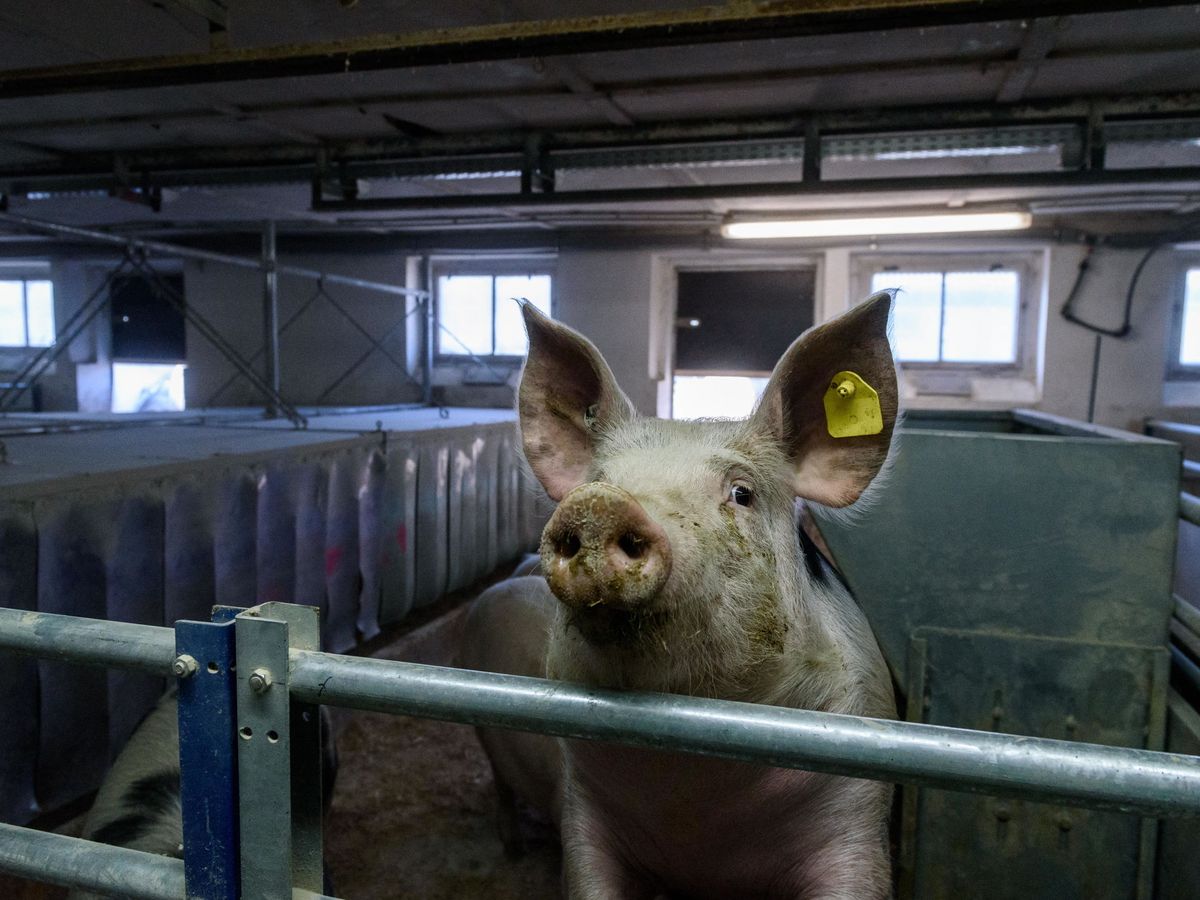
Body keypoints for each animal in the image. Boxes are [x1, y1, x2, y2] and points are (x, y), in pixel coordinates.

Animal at [461, 291, 899, 900]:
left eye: (742, 493)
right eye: (595, 479)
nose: (599, 504)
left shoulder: (858, 814)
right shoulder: (580, 811)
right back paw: (510, 846)